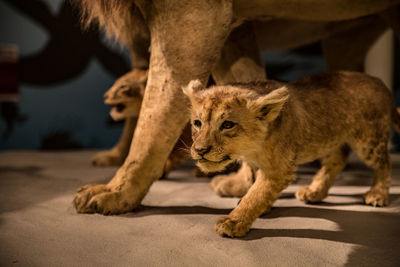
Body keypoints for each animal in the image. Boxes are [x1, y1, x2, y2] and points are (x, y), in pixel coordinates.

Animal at [72, 0, 400, 215]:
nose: (200, 150)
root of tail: (382, 87)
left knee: (381, 160)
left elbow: (152, 122)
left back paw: (377, 194)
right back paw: (314, 191)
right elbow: (246, 79)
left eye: (227, 125)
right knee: (337, 155)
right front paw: (246, 186)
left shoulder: (194, 15)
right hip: (346, 40)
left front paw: (116, 194)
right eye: (198, 123)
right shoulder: (234, 26)